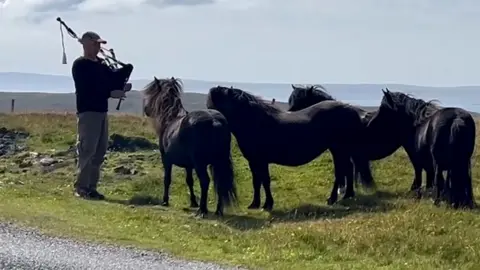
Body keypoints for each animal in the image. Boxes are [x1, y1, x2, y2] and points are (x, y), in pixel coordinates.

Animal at [143, 76, 239, 217]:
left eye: (153, 93)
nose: (146, 110)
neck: (170, 119)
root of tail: (215, 121)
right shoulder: (188, 165)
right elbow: (189, 181)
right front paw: (193, 202)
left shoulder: (166, 160)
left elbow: (167, 179)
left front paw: (165, 201)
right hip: (218, 162)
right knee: (220, 182)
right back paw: (218, 210)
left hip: (201, 164)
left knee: (205, 181)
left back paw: (202, 210)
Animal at [206, 85, 376, 210]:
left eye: (214, 105)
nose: (212, 121)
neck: (256, 122)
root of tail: (349, 108)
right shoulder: (254, 161)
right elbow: (257, 182)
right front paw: (255, 204)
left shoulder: (261, 161)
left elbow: (265, 181)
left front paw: (268, 204)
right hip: (340, 150)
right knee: (347, 169)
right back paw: (347, 195)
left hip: (339, 149)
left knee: (341, 171)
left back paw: (333, 198)